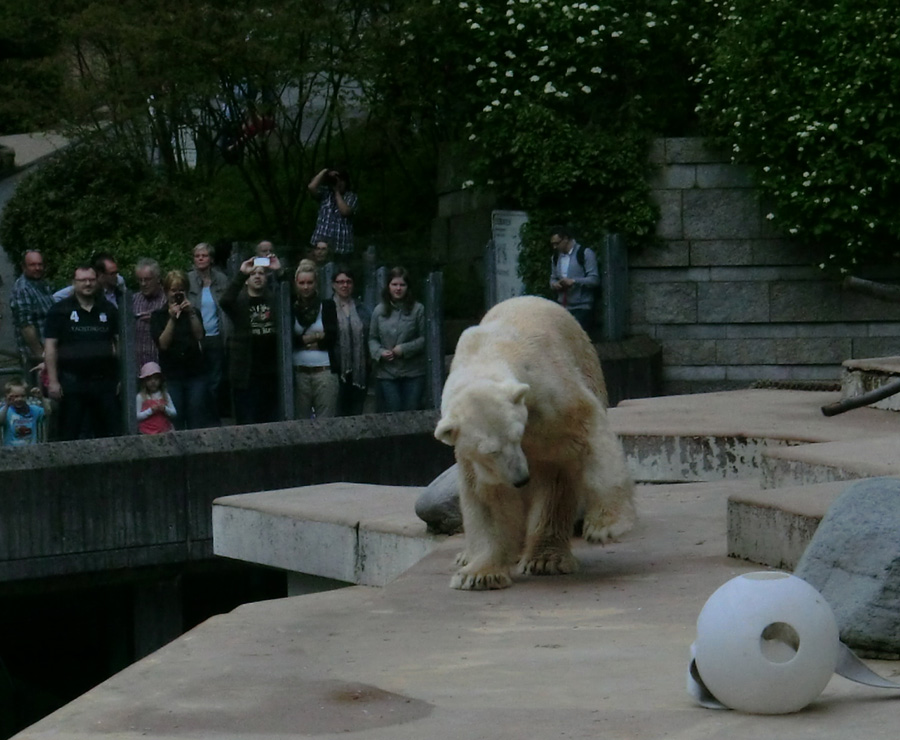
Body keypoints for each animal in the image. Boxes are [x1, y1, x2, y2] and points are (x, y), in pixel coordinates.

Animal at [434, 294, 632, 588]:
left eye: (517, 435)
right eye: (490, 451)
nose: (520, 478)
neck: (485, 353)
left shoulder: (547, 395)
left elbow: (586, 435)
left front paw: (606, 525)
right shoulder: (471, 455)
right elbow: (486, 494)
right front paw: (479, 574)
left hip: (586, 364)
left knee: (556, 483)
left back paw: (545, 559)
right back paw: (469, 556)